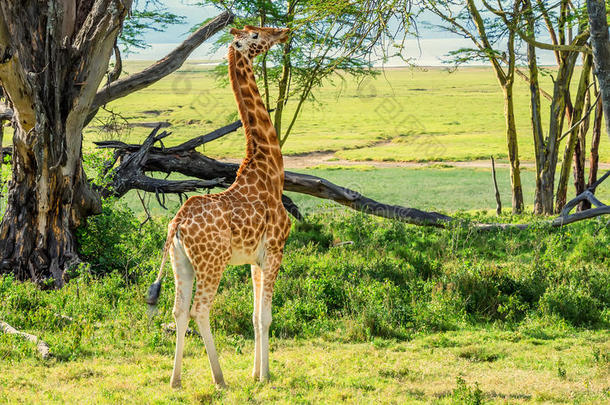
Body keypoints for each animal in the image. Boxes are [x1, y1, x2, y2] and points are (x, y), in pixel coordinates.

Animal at [146, 25, 290, 388]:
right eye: (256, 36)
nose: (282, 31)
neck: (270, 171)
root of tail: (177, 224)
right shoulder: (275, 251)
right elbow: (266, 317)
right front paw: (265, 376)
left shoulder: (254, 260)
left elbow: (254, 316)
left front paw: (255, 373)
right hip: (213, 263)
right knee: (199, 310)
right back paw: (219, 378)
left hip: (180, 263)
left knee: (178, 310)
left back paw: (175, 380)